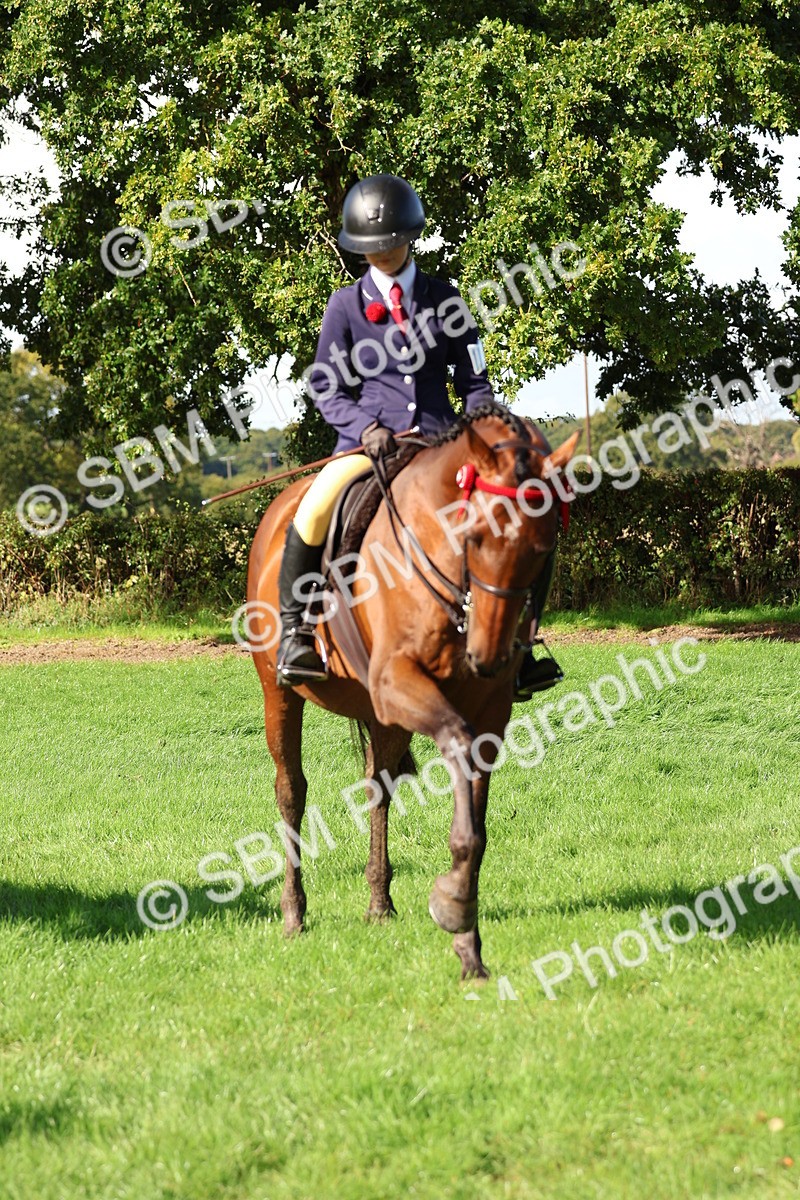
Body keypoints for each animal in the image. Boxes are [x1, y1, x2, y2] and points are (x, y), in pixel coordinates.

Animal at [246, 403, 579, 979]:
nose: (487, 656)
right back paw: (293, 912)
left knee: (378, 785)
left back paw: (380, 902)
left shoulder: (488, 710)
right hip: (280, 692)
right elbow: (456, 741)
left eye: (541, 550)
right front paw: (454, 904)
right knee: (292, 791)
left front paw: (467, 937)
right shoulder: (402, 683)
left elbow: (475, 823)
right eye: (473, 535)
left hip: (383, 714)